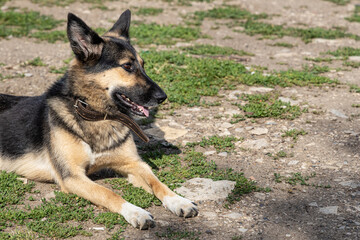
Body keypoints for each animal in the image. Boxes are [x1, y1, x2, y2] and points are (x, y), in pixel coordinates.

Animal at [0, 9, 197, 231]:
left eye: (143, 65)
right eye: (127, 66)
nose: (163, 97)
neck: (97, 115)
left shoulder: (134, 163)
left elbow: (158, 182)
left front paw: (178, 200)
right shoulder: (72, 176)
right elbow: (108, 193)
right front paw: (135, 211)